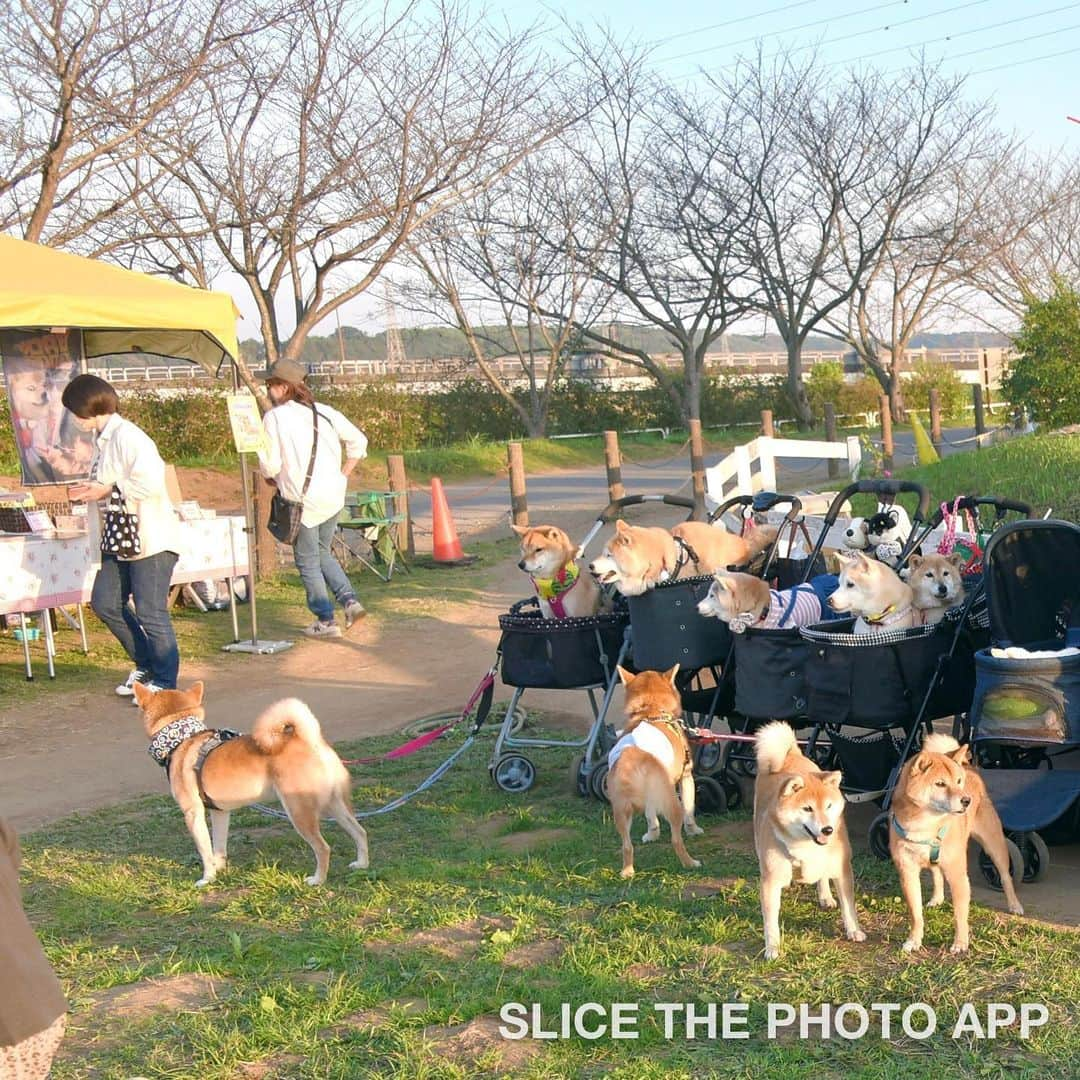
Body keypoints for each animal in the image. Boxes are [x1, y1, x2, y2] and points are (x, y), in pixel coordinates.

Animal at [133, 682, 371, 885]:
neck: (181, 741)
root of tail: (309, 740)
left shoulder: (193, 813)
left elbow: (205, 851)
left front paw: (207, 878)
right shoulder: (220, 812)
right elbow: (218, 847)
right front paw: (220, 869)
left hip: (299, 810)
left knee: (323, 848)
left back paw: (317, 880)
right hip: (334, 805)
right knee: (360, 831)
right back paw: (362, 864)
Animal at [604, 665, 704, 876]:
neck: (650, 710)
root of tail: (632, 756)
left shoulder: (649, 799)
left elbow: (651, 816)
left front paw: (652, 834)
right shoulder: (686, 778)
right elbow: (689, 810)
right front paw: (694, 830)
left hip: (621, 810)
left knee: (627, 845)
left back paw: (627, 872)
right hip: (672, 803)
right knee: (676, 839)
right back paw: (690, 863)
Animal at [756, 721, 864, 959]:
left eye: (829, 806)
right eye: (807, 808)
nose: (828, 829)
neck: (804, 845)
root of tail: (791, 754)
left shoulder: (842, 869)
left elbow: (848, 906)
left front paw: (853, 930)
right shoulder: (771, 880)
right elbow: (771, 921)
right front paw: (772, 947)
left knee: (822, 877)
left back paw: (825, 896)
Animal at [885, 734, 1019, 954]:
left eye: (958, 782)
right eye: (940, 784)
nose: (967, 800)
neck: (925, 824)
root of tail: (969, 767)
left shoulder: (958, 875)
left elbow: (960, 916)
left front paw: (961, 943)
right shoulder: (907, 872)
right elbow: (916, 914)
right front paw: (914, 940)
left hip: (994, 845)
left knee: (1006, 876)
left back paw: (1015, 905)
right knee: (936, 873)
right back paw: (937, 898)